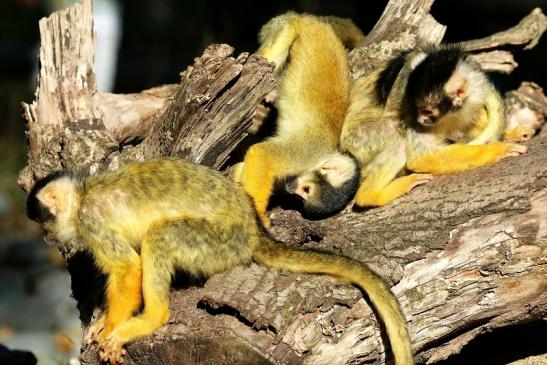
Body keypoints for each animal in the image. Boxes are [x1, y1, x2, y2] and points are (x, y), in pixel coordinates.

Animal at [25, 158, 416, 364]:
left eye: (44, 221)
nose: (46, 237)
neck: (83, 197)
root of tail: (253, 230)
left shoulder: (91, 220)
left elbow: (126, 266)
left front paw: (110, 329)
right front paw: (103, 322)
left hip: (220, 243)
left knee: (161, 236)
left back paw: (153, 317)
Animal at [232, 12, 364, 226]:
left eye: (303, 195)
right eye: (306, 190)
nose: (291, 190)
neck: (324, 154)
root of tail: (310, 19)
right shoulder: (306, 151)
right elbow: (261, 154)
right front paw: (257, 215)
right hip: (288, 27)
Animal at [342, 43, 528, 206]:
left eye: (427, 111)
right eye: (416, 108)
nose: (420, 120)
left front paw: (509, 134)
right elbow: (420, 156)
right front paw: (498, 149)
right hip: (357, 139)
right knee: (396, 139)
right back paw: (371, 195)